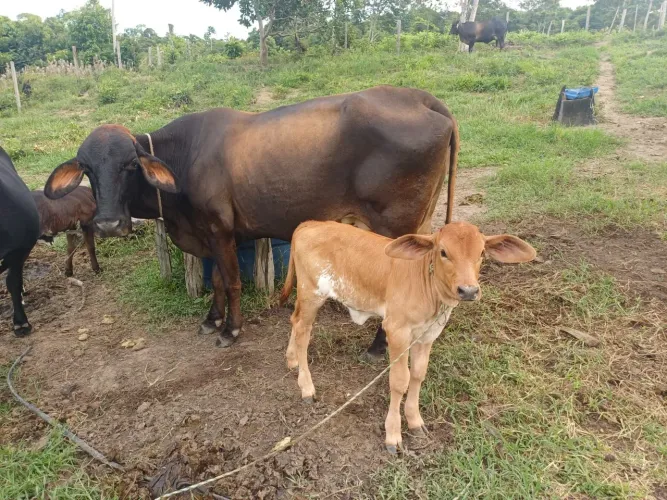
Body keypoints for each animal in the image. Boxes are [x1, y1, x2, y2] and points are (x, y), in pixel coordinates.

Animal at [43, 85, 459, 353]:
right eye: (86, 169)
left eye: (130, 165)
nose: (109, 224)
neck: (184, 160)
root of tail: (422, 99)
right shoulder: (210, 235)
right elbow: (215, 281)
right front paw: (212, 319)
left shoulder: (220, 231)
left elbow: (232, 282)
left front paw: (231, 329)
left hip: (394, 227)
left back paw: (379, 347)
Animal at [280, 220, 536, 453]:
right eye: (443, 252)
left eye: (481, 253)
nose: (469, 291)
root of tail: (310, 223)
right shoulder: (397, 332)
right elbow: (399, 381)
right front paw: (393, 435)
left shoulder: (427, 335)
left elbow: (418, 375)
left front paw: (414, 422)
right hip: (311, 294)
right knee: (303, 331)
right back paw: (306, 387)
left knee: (294, 320)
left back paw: (292, 360)